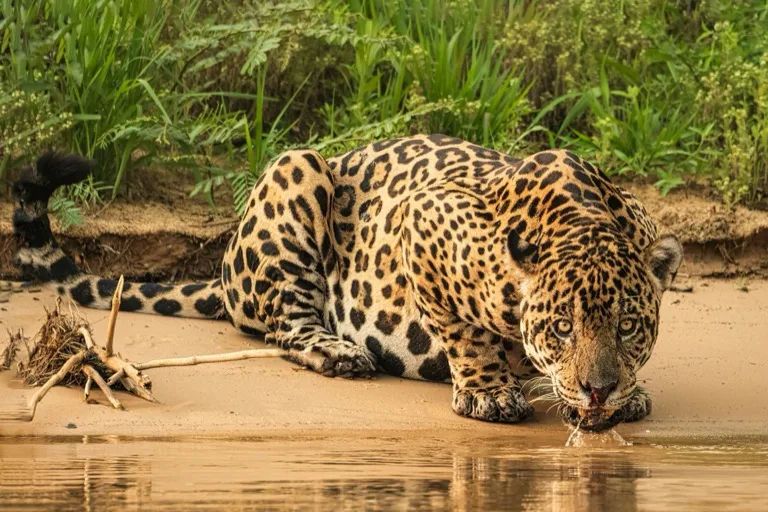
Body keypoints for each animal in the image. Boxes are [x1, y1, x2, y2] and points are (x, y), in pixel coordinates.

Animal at [10, 134, 683, 431]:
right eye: (562, 328)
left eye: (628, 326)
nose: (598, 391)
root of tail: (224, 269)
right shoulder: (425, 217)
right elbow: (465, 333)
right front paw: (490, 392)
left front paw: (627, 394)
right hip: (296, 170)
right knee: (285, 326)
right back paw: (340, 352)